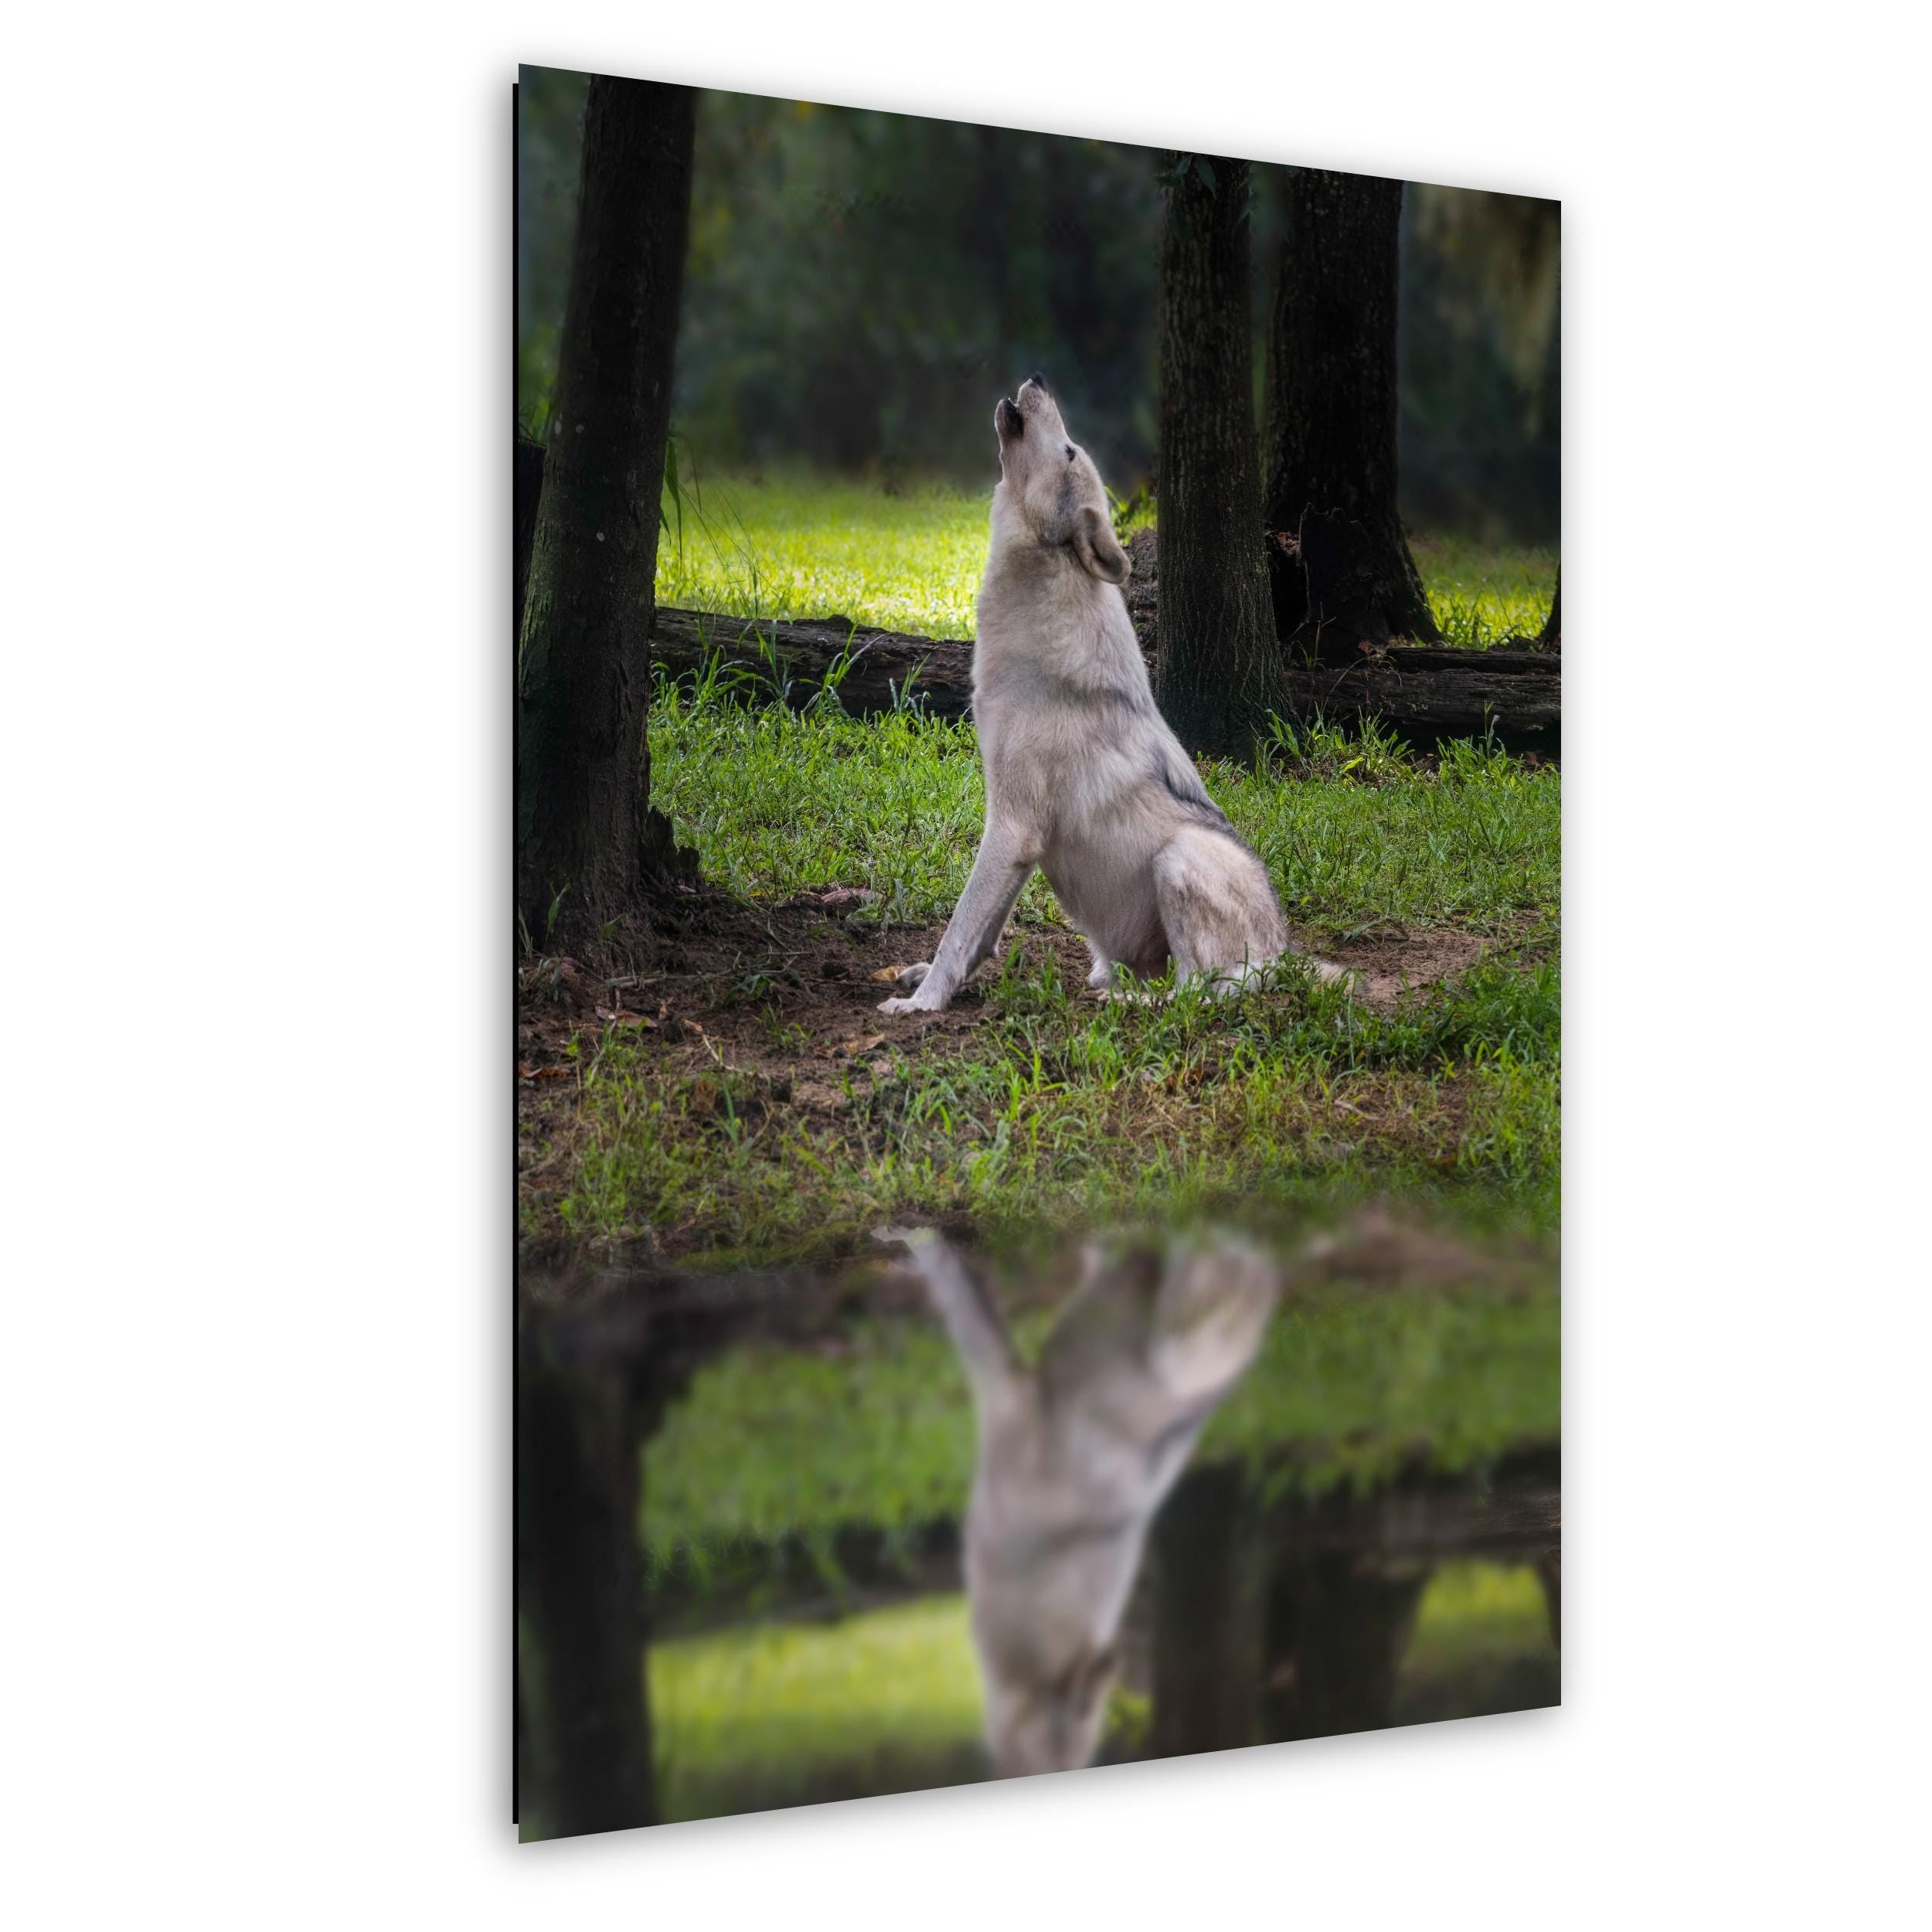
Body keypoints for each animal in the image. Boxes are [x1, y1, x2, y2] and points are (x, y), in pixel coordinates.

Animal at [879, 374, 1347, 1016]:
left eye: (1071, 451)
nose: (1039, 379)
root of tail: (1286, 956)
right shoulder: (1019, 841)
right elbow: (981, 937)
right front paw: (929, 979)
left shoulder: (1011, 826)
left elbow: (960, 927)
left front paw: (924, 1004)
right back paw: (1112, 984)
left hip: (1178, 859)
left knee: (1197, 992)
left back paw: (1126, 1002)